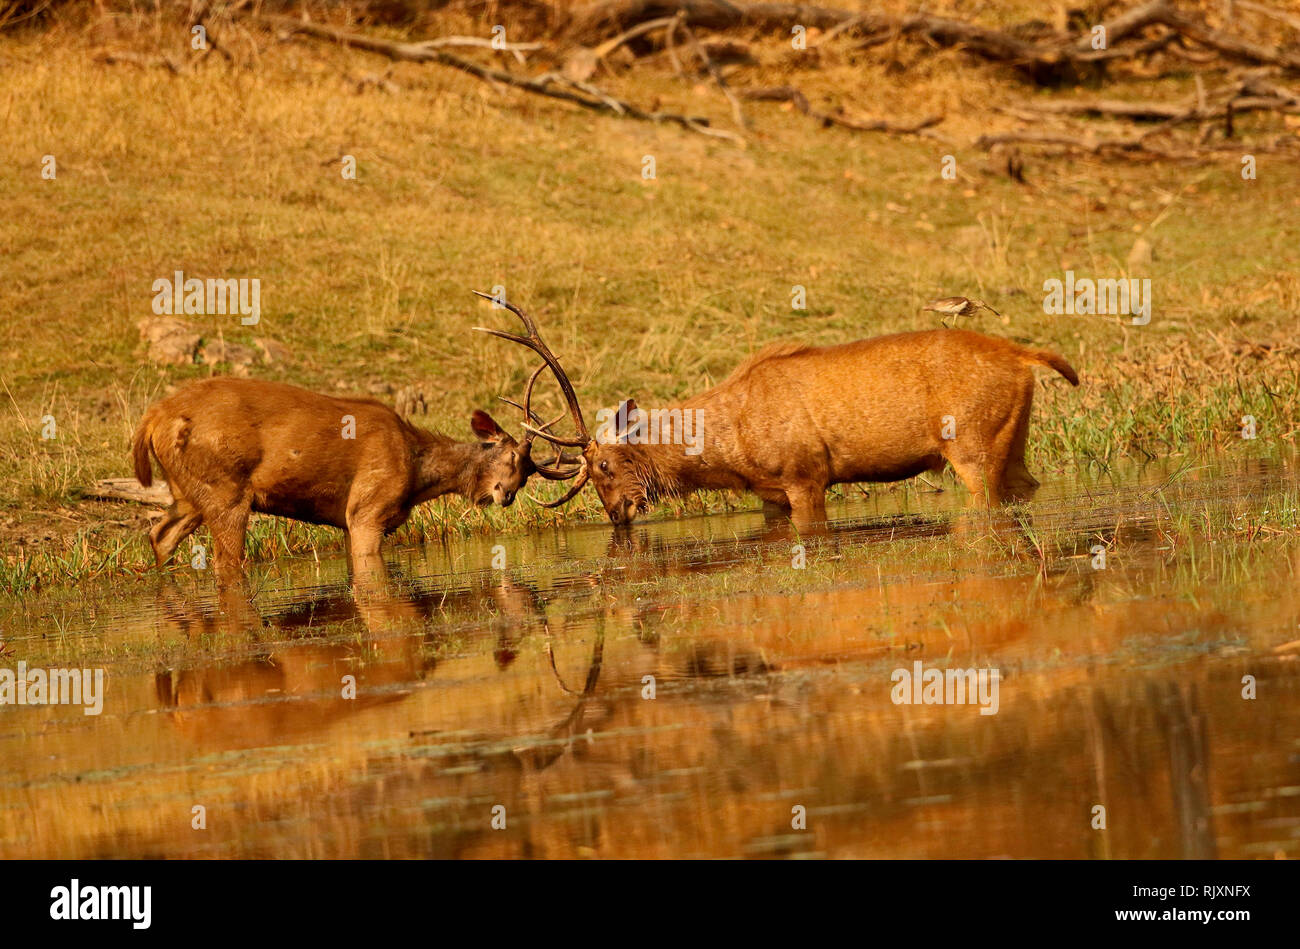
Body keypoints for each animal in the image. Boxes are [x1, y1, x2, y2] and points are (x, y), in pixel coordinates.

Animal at [134, 374, 577, 579]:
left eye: (527, 473)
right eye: (514, 456)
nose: (505, 495)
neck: (418, 474)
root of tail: (151, 419)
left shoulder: (348, 522)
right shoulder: (367, 510)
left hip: (187, 493)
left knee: (159, 535)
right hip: (225, 490)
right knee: (225, 562)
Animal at [473, 292, 1081, 527]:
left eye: (603, 466)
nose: (617, 515)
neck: (728, 454)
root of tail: (1024, 356)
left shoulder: (806, 475)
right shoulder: (770, 494)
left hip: (972, 446)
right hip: (1013, 442)